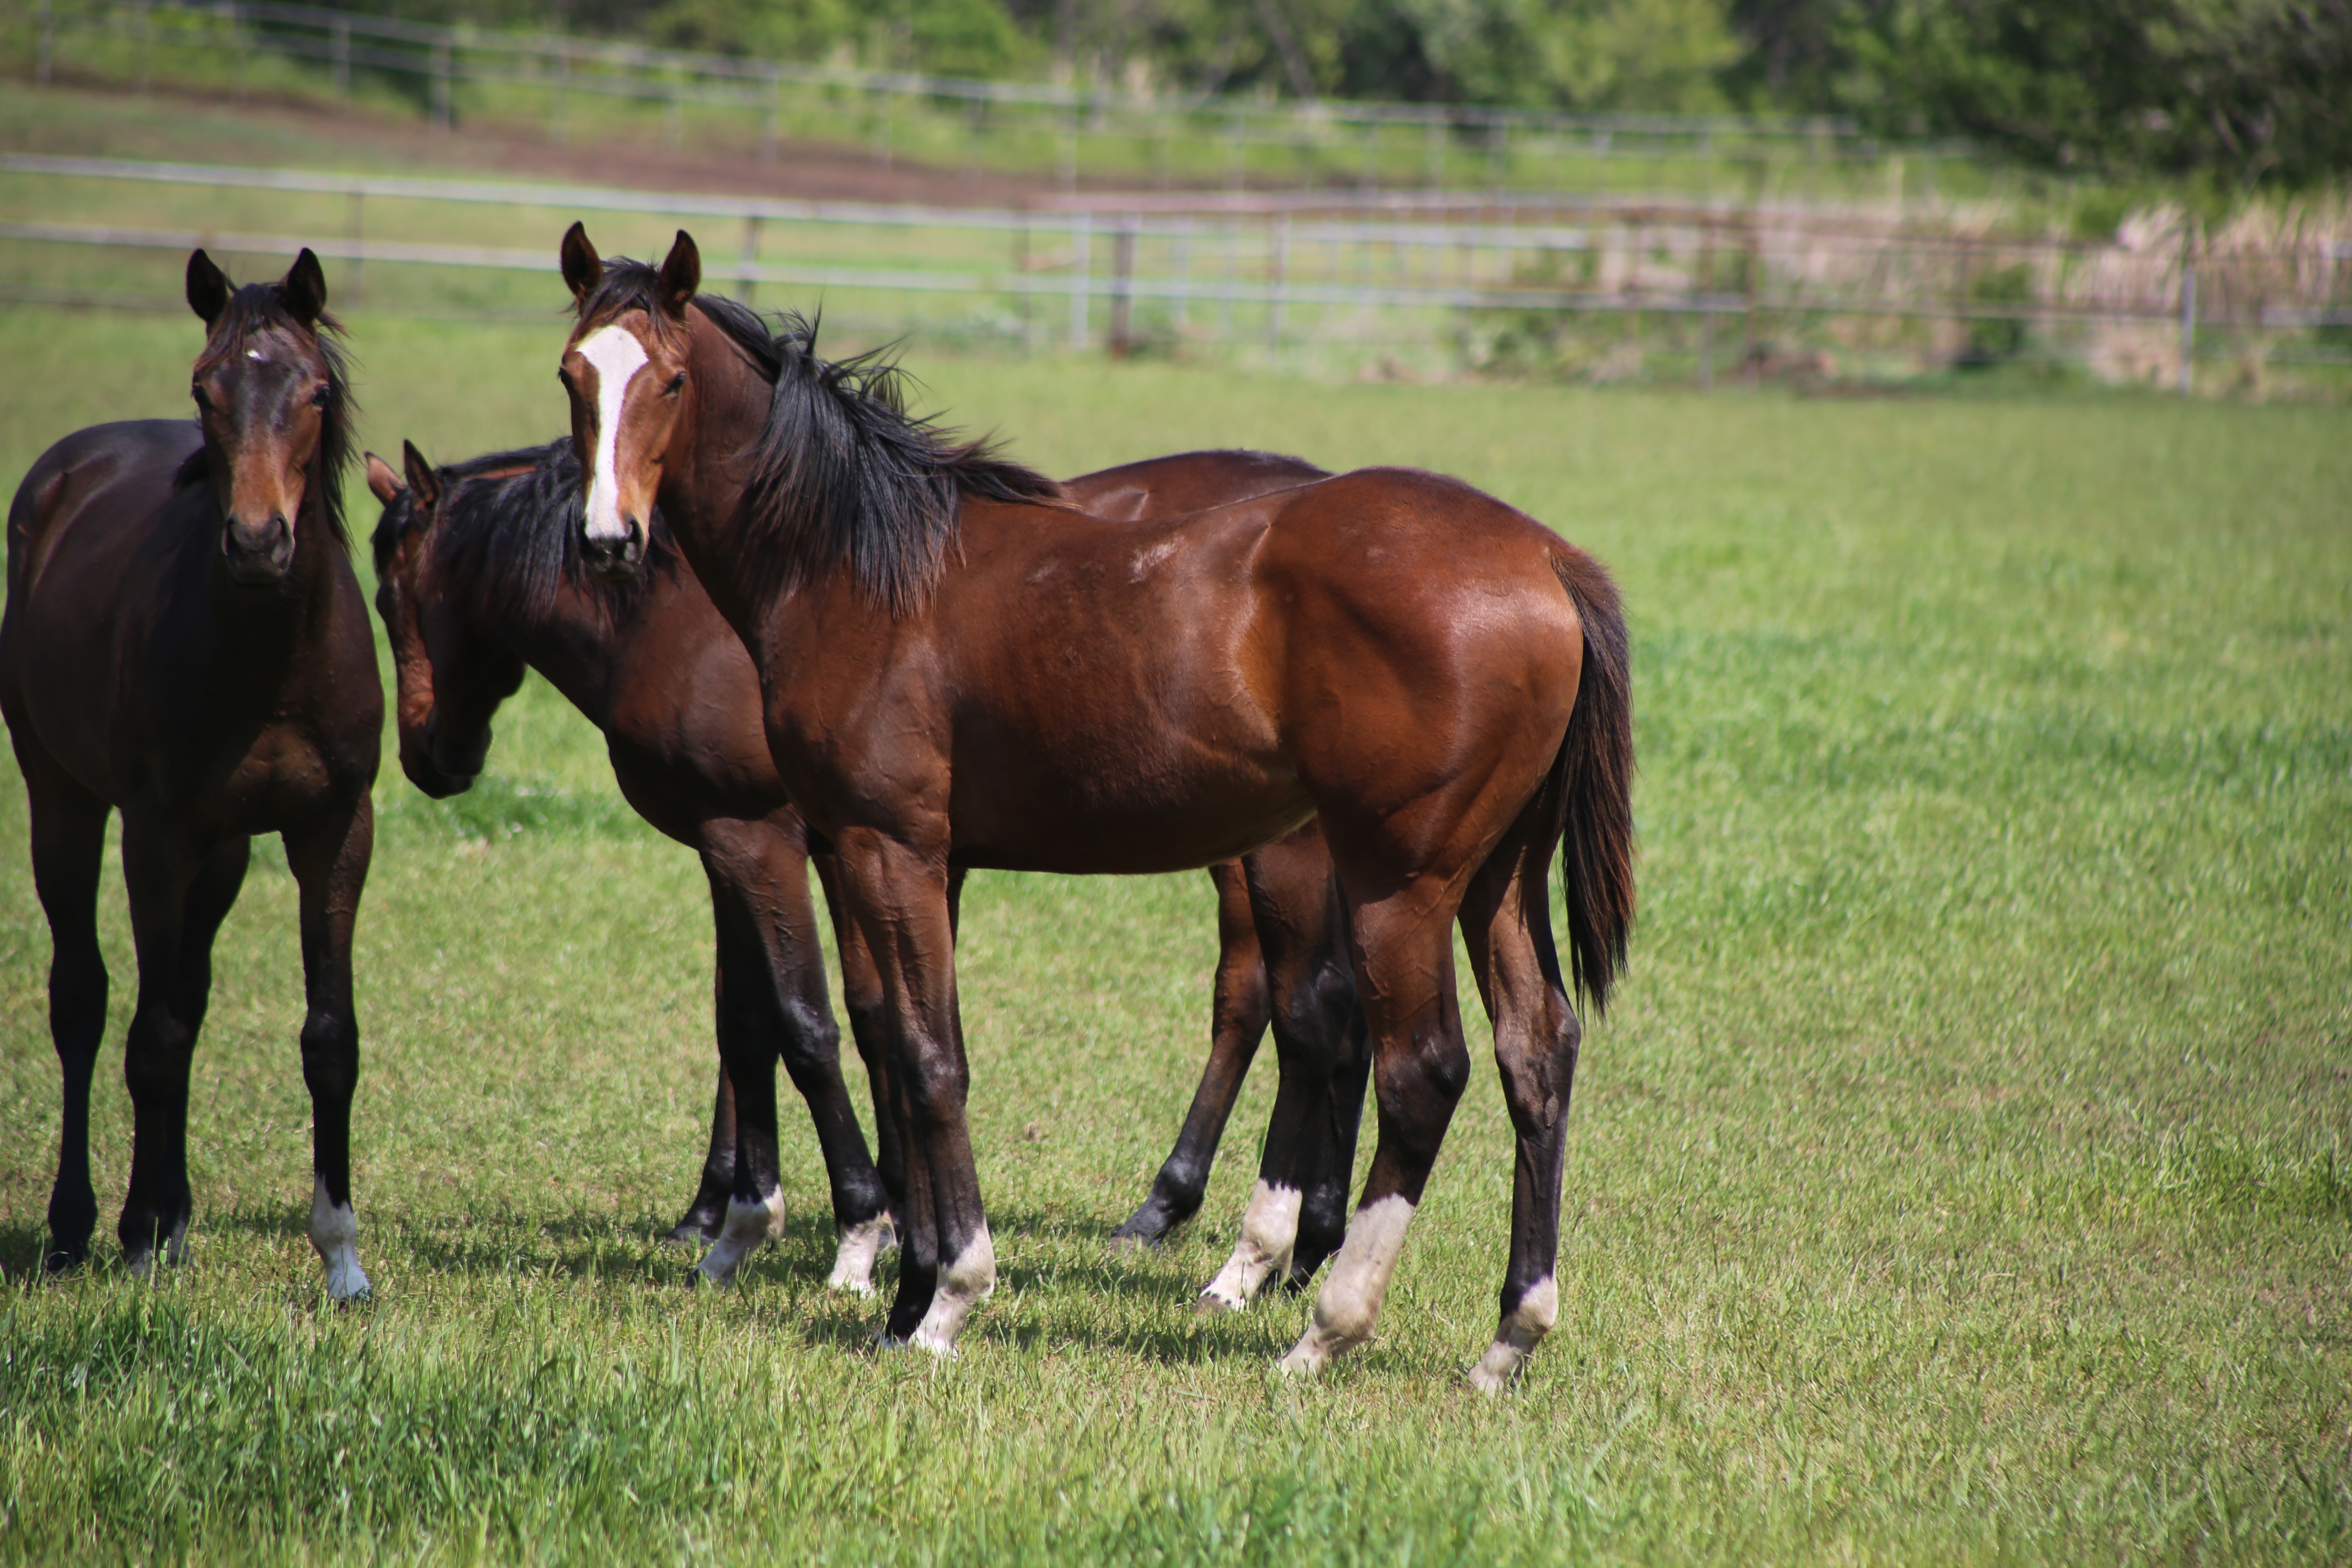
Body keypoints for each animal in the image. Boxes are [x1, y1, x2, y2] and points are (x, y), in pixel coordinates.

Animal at [3, 252, 381, 1297]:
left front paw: (341, 1257)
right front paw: (134, 1237)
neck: (272, 658)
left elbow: (328, 1037)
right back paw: (82, 1224)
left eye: (315, 391)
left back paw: (174, 1218)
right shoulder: (157, 834)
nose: (257, 543)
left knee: (189, 992)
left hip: (222, 855)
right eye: (205, 390)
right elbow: (155, 1037)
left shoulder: (336, 829)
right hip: (65, 802)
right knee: (87, 1001)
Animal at [357, 432, 1373, 1297]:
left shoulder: (757, 835)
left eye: (389, 597)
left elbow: (804, 1024)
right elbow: (766, 1020)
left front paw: (852, 1224)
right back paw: (1293, 1234)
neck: (685, 609)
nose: (430, 758)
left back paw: (1215, 1220)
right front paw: (744, 1211)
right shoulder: (758, 847)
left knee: (1273, 1001)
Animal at [559, 223, 1627, 1382]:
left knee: (1421, 1071)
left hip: (1402, 880)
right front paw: (904, 1296)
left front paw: (950, 1298)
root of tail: (1543, 557)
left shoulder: (891, 847)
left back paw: (1323, 1328)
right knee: (1536, 1052)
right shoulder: (865, 850)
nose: (608, 540)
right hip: (1495, 878)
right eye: (574, 375)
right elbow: (888, 1038)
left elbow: (930, 1059)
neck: (856, 566)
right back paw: (1508, 1337)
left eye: (669, 380)